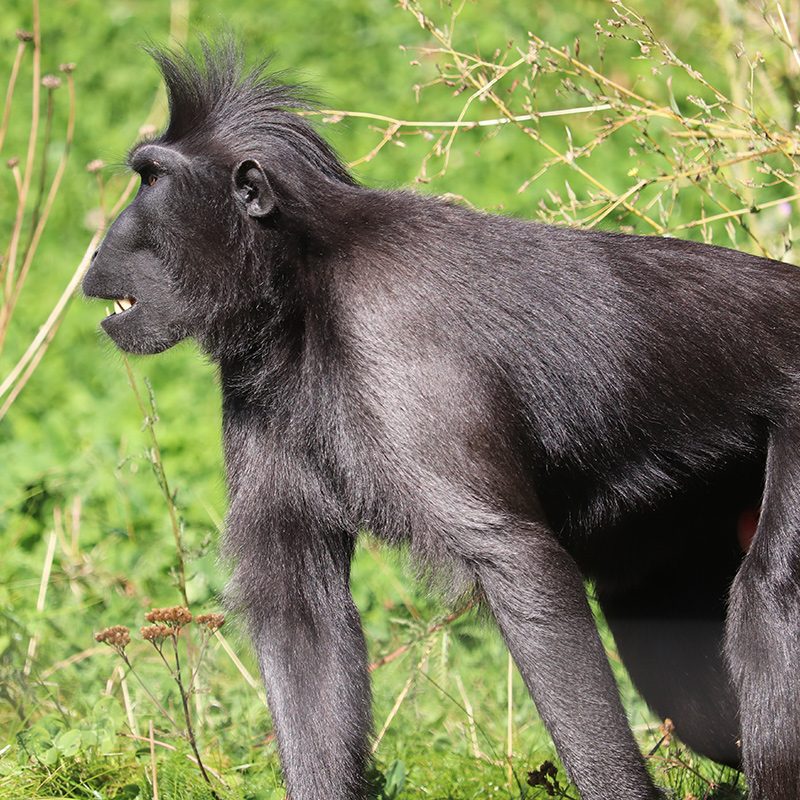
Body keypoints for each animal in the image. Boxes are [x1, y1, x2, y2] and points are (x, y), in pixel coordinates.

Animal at [83, 43, 800, 800]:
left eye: (151, 179)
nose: (99, 247)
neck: (303, 282)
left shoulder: (395, 338)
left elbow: (522, 565)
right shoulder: (253, 380)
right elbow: (298, 607)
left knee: (768, 603)